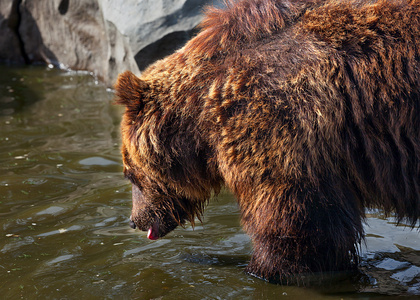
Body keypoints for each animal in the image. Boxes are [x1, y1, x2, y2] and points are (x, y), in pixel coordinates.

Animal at [115, 0, 420, 284]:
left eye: (130, 174)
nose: (134, 220)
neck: (201, 116)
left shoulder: (278, 127)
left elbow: (299, 228)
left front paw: (262, 270)